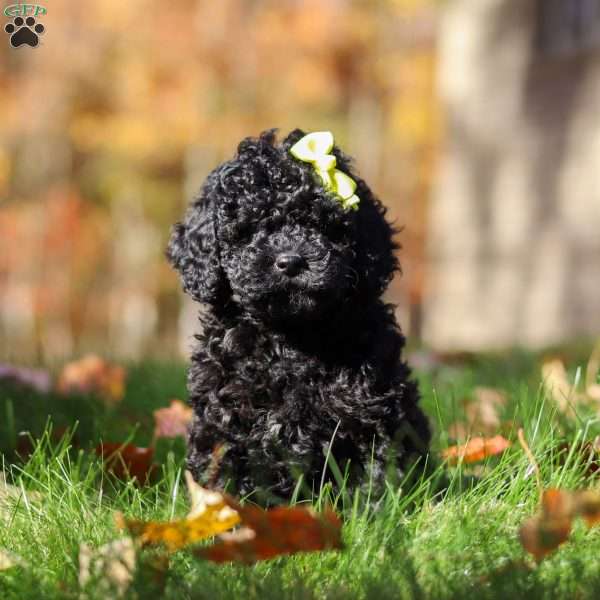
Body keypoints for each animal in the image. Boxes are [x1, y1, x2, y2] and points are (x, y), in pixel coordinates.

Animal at [168, 129, 432, 500]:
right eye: (250, 229)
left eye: (322, 227)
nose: (291, 261)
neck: (292, 336)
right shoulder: (224, 411)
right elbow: (224, 466)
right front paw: (228, 510)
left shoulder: (371, 406)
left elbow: (376, 466)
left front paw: (371, 509)